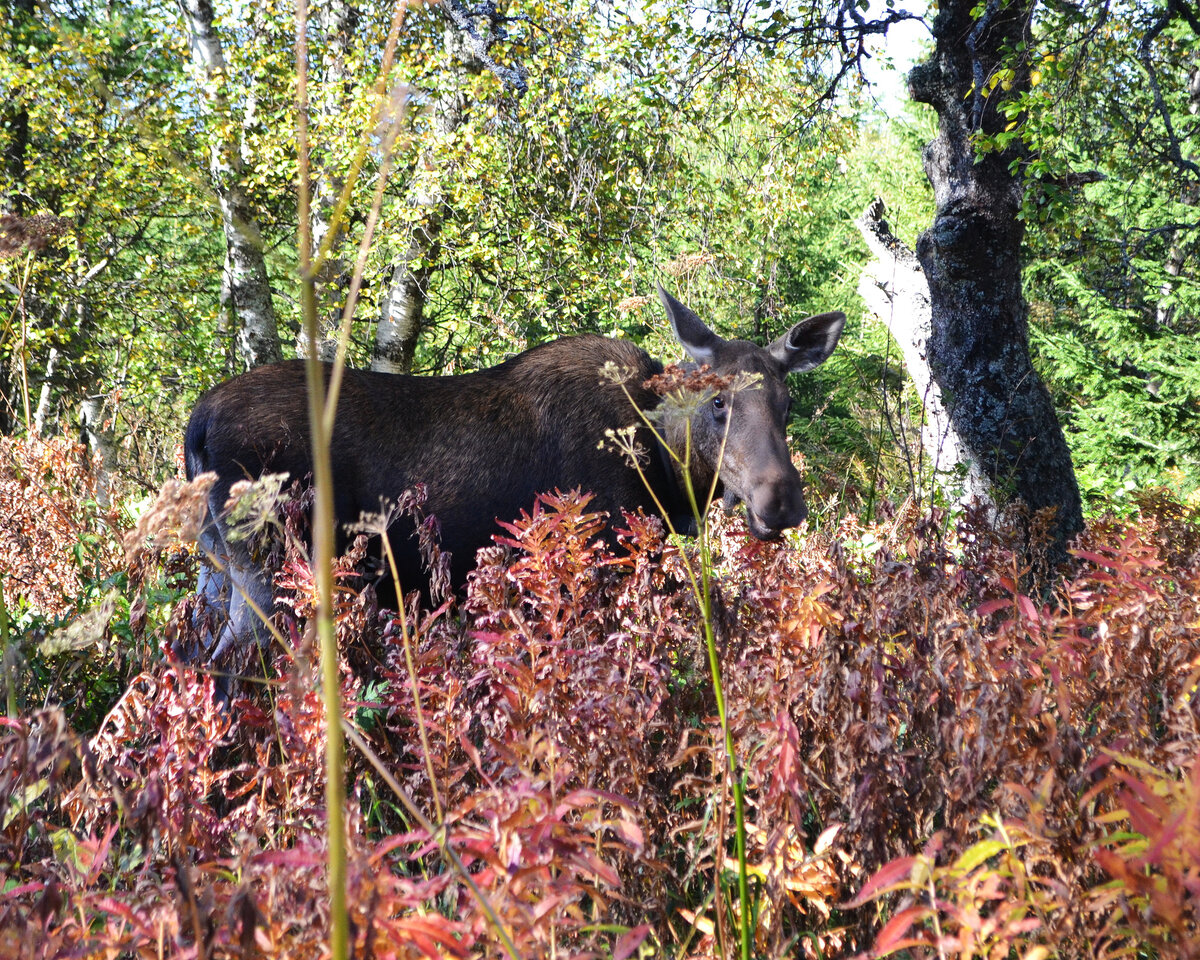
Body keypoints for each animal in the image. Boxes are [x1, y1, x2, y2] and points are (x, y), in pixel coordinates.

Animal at [184, 285, 844, 667]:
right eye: (718, 402)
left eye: (786, 402)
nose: (782, 502)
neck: (665, 473)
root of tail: (198, 422)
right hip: (269, 573)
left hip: (217, 571)